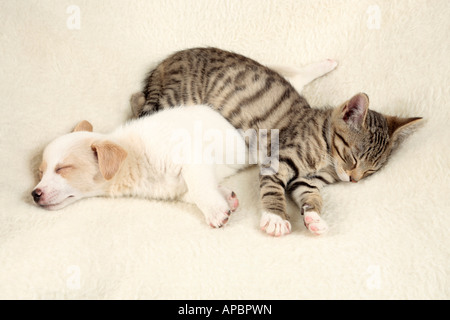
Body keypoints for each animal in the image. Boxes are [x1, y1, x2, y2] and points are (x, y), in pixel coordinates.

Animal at [31, 105, 250, 228]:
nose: (34, 194)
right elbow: (191, 192)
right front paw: (225, 196)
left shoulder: (190, 156)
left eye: (63, 168)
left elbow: (199, 188)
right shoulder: (169, 189)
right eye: (40, 173)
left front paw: (215, 211)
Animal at [130, 48, 422, 238]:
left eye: (371, 170)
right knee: (137, 109)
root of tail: (167, 60)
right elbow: (273, 190)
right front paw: (276, 218)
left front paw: (314, 217)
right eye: (353, 157)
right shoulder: (277, 161)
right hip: (175, 101)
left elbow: (312, 195)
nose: (354, 179)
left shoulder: (305, 182)